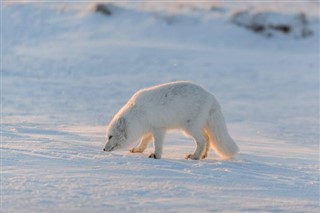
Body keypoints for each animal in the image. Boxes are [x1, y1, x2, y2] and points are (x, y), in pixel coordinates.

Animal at [102, 81, 238, 160]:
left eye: (110, 136)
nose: (103, 149)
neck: (137, 114)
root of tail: (212, 98)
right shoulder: (149, 128)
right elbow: (144, 141)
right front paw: (138, 150)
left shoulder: (158, 129)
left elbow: (157, 144)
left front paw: (155, 155)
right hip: (198, 126)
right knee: (208, 137)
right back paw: (203, 155)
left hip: (189, 127)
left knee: (202, 140)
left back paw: (194, 156)